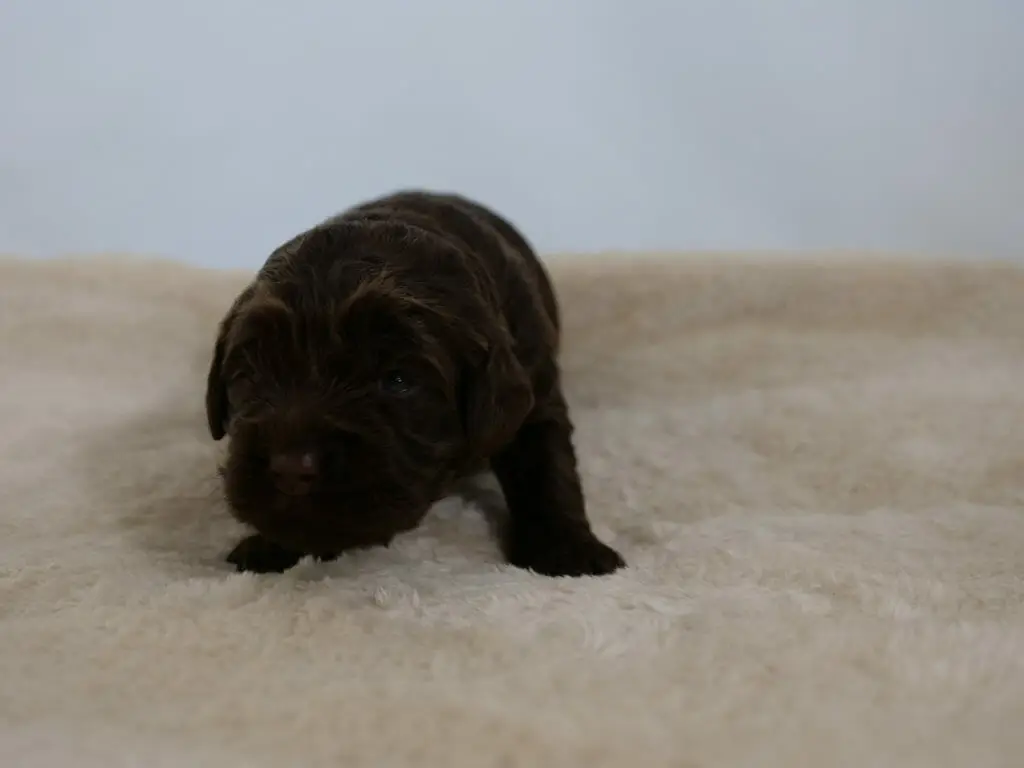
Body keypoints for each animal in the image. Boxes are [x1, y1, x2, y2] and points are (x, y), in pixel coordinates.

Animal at [204, 191, 622, 577]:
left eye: (399, 381)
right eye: (248, 377)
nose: (291, 469)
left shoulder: (535, 391)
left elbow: (547, 469)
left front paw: (568, 552)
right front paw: (270, 546)